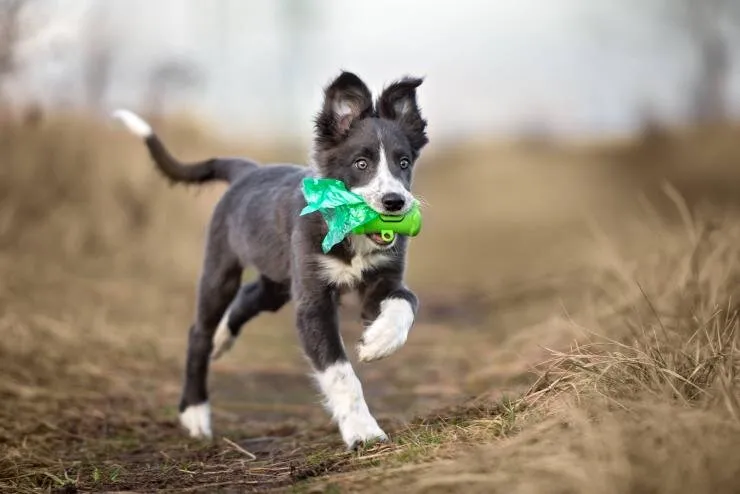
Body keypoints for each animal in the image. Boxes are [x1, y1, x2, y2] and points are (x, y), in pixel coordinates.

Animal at [112, 71, 430, 450]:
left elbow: (405, 301)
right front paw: (363, 432)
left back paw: (222, 339)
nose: (395, 202)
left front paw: (378, 342)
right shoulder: (312, 302)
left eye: (404, 163)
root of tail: (248, 170)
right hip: (221, 269)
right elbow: (339, 372)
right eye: (361, 163)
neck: (348, 232)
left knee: (249, 297)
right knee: (199, 333)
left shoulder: (382, 282)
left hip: (278, 281)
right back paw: (195, 412)